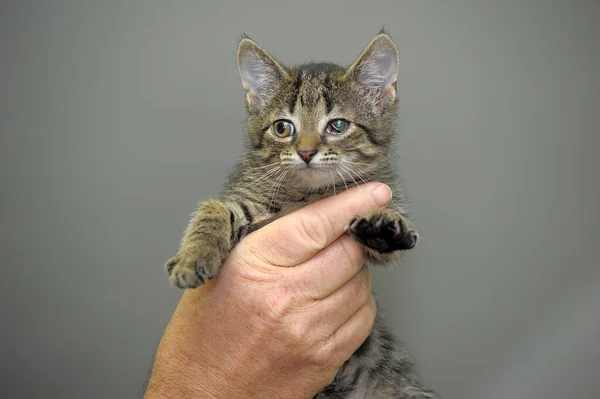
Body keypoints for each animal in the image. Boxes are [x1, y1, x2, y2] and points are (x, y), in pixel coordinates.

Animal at [166, 32, 438, 399]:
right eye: (283, 128)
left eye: (338, 125)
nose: (306, 152)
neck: (310, 195)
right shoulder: (247, 201)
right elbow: (214, 208)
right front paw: (193, 257)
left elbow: (388, 246)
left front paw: (381, 227)